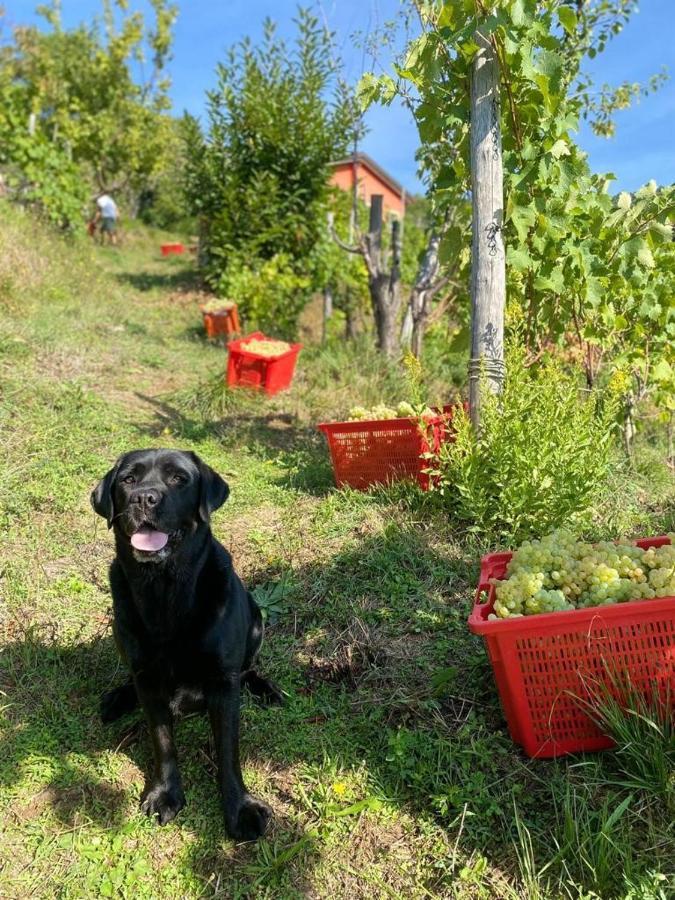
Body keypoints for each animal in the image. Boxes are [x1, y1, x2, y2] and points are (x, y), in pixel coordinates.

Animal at [91, 454, 282, 840]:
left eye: (178, 479)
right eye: (128, 480)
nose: (144, 498)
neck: (165, 590)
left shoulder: (223, 683)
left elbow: (227, 750)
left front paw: (240, 808)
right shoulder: (149, 680)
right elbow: (162, 740)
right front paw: (165, 794)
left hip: (255, 619)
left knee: (248, 667)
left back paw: (265, 688)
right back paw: (119, 697)